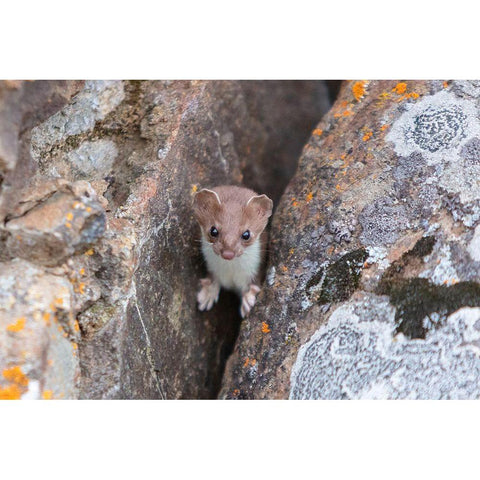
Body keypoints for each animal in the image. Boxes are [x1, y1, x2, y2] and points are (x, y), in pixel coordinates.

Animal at [192, 186, 274, 316]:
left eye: (246, 234)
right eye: (213, 231)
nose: (228, 254)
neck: (231, 271)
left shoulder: (256, 268)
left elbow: (254, 283)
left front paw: (248, 301)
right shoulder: (212, 267)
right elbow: (212, 279)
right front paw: (207, 294)